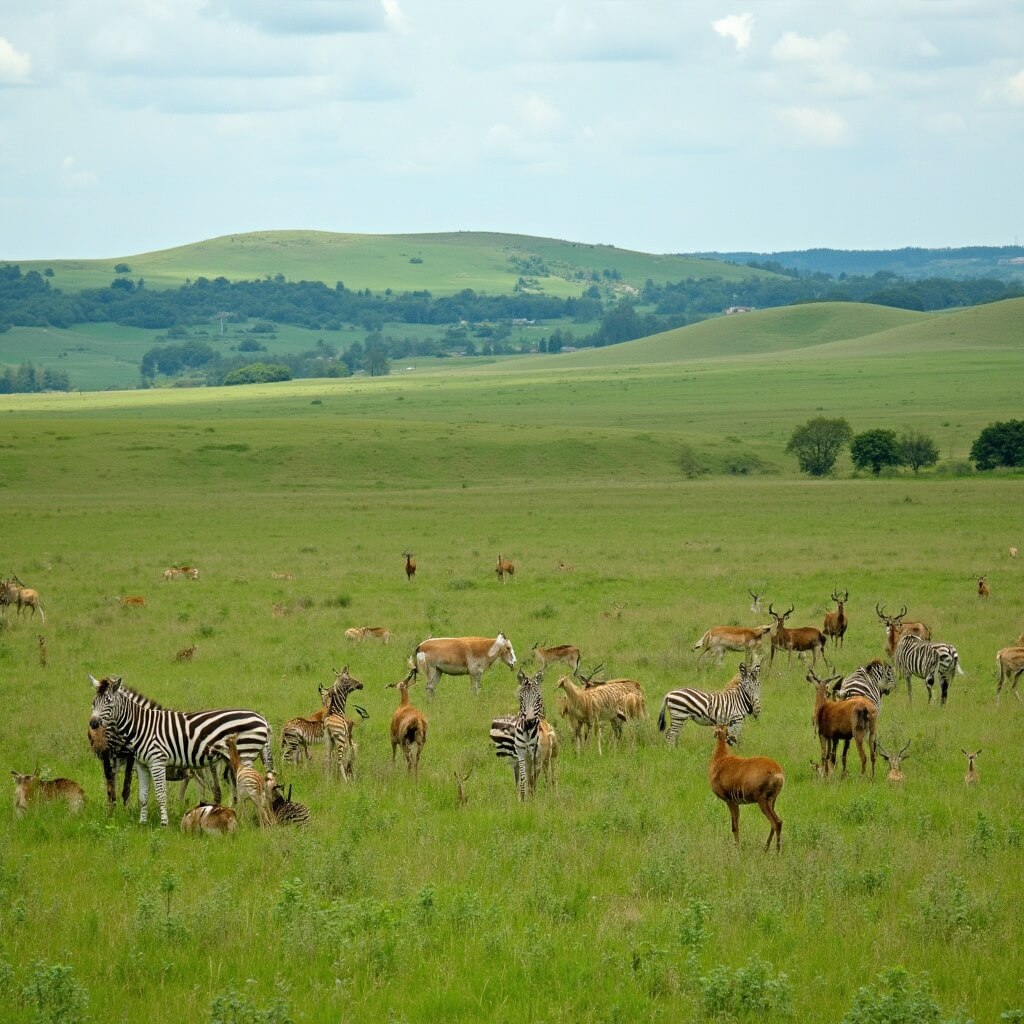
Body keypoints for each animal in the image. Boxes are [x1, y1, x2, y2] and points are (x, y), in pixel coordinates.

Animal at [88, 674, 273, 826]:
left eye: (108, 702)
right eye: (93, 703)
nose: (93, 723)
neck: (142, 725)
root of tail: (262, 719)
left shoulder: (157, 761)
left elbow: (161, 794)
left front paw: (164, 823)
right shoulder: (142, 765)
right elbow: (143, 796)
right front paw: (142, 823)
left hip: (245, 753)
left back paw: (247, 820)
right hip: (232, 759)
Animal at [489, 668, 544, 801]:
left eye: (538, 698)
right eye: (521, 698)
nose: (529, 722)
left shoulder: (536, 756)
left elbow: (532, 778)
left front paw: (532, 798)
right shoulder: (521, 754)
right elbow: (524, 778)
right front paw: (523, 799)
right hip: (514, 758)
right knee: (518, 775)